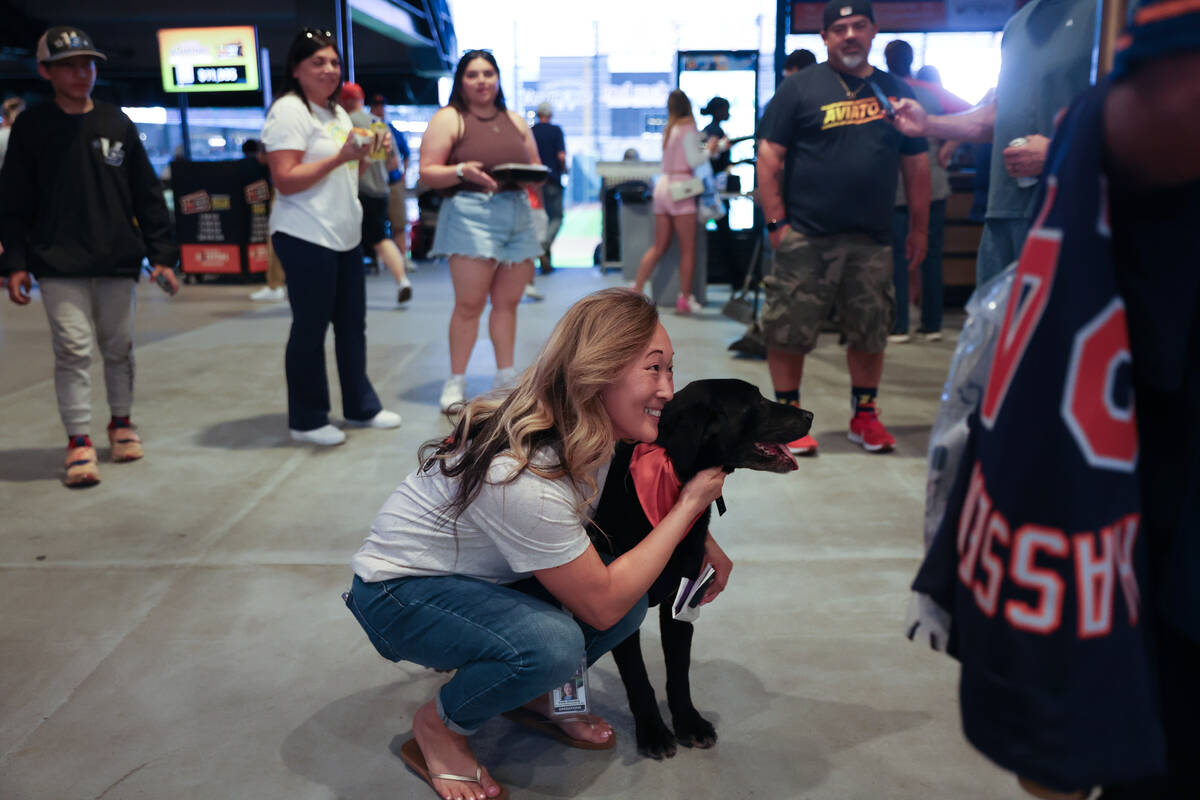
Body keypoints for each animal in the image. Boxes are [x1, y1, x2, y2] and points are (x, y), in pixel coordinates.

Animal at [590, 379, 816, 762]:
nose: (810, 415)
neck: (671, 478)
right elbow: (638, 678)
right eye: (755, 403)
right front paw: (653, 732)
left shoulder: (680, 600)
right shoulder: (619, 607)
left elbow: (679, 674)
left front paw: (689, 723)